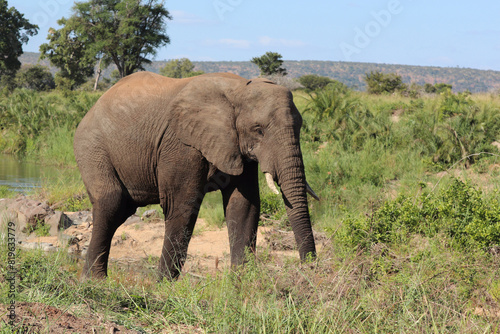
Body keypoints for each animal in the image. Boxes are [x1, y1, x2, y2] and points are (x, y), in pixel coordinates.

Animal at [73, 71, 316, 280]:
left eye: (300, 127)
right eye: (259, 130)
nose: (309, 268)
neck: (238, 89)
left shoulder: (236, 146)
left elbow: (243, 205)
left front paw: (242, 282)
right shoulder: (180, 144)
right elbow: (182, 205)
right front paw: (164, 285)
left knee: (122, 209)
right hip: (91, 147)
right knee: (111, 202)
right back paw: (94, 281)